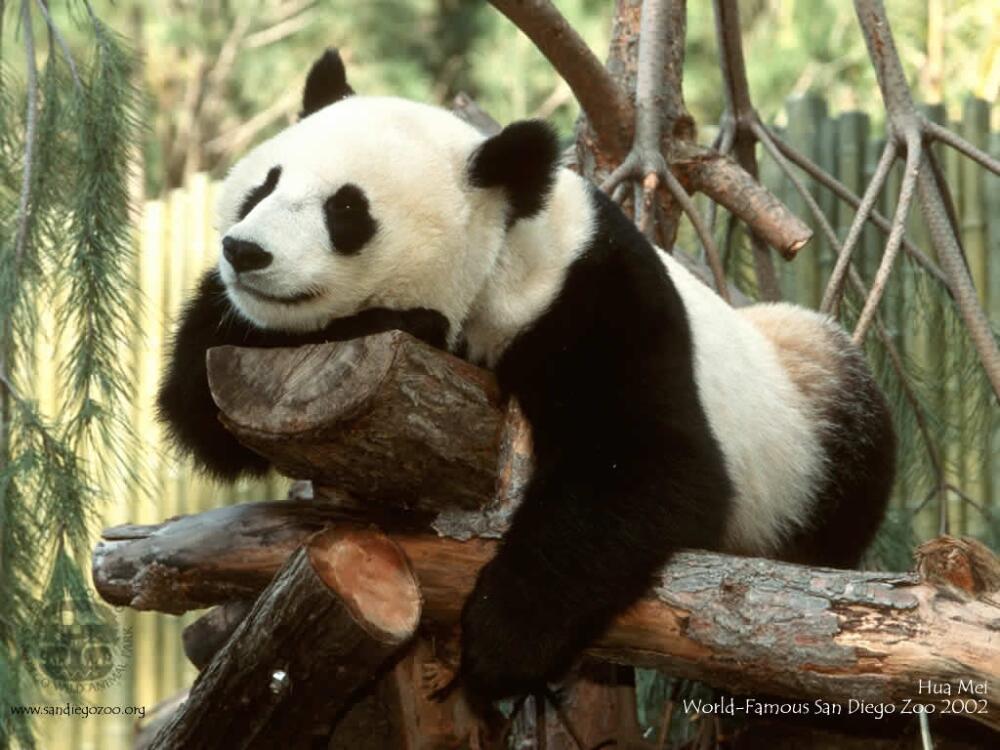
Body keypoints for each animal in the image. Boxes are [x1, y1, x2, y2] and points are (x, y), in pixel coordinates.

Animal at [158, 50, 895, 707]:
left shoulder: (596, 296)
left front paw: (501, 641)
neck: (502, 253)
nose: (245, 252)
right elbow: (199, 404)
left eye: (345, 210)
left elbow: (652, 463)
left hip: (807, 408)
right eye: (265, 184)